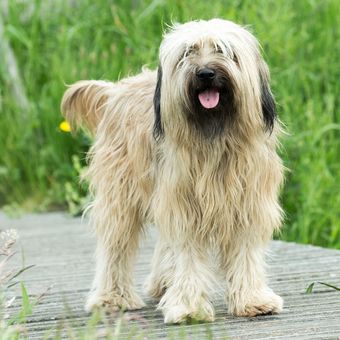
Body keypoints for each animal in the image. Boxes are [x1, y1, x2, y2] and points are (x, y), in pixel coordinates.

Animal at [60, 18, 284, 324]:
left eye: (223, 50)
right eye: (188, 53)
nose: (205, 73)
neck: (214, 137)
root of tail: (116, 90)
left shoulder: (247, 202)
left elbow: (244, 252)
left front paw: (253, 300)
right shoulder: (184, 205)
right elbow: (186, 255)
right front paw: (189, 308)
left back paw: (162, 283)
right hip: (121, 194)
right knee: (116, 246)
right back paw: (113, 298)